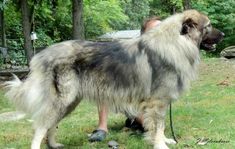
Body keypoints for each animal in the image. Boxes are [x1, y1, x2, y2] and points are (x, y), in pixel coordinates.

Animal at [4, 9, 223, 148]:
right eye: (209, 26)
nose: (222, 34)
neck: (177, 42)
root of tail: (42, 55)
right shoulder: (157, 102)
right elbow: (159, 126)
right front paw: (161, 145)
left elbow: (157, 127)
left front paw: (163, 140)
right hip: (62, 100)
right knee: (40, 126)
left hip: (70, 102)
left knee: (50, 125)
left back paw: (53, 144)